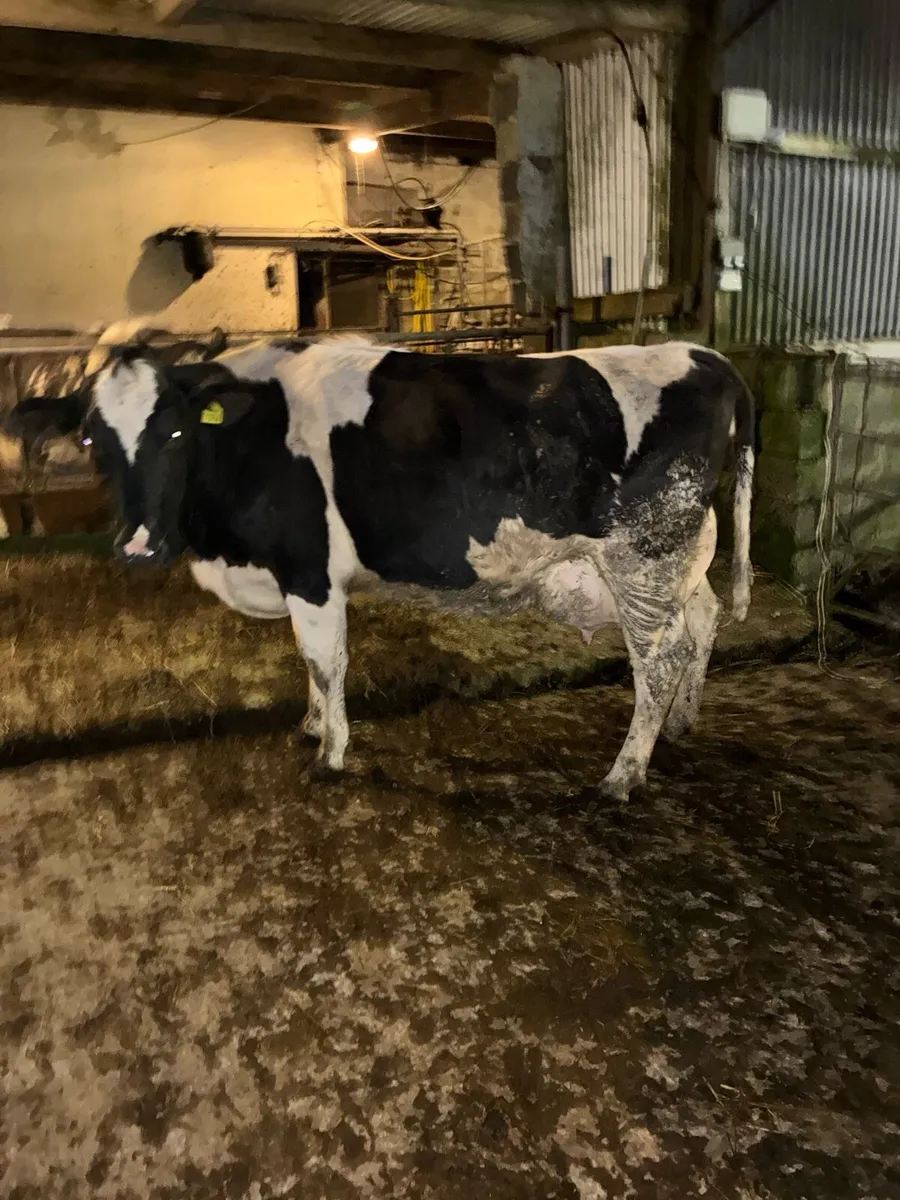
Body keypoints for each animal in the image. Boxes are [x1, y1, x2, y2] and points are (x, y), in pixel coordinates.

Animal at [4, 335, 754, 800]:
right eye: (93, 439)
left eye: (176, 430)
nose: (138, 548)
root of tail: (703, 355)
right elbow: (309, 662)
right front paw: (312, 726)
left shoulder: (310, 570)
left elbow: (325, 661)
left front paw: (330, 754)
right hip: (681, 556)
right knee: (702, 621)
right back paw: (682, 723)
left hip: (643, 557)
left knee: (657, 661)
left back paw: (623, 775)